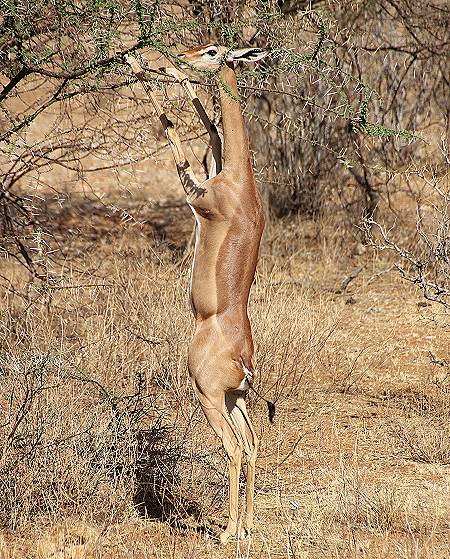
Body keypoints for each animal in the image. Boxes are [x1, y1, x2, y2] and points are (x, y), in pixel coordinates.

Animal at [128, 44, 272, 548]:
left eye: (212, 50)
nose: (181, 55)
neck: (239, 180)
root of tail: (243, 360)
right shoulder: (213, 163)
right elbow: (208, 128)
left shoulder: (196, 192)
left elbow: (175, 135)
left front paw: (142, 68)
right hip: (235, 400)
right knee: (253, 445)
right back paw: (247, 527)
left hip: (209, 396)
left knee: (232, 449)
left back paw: (228, 533)